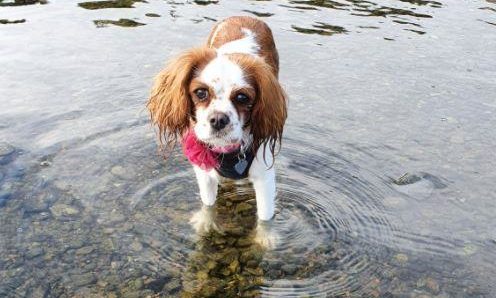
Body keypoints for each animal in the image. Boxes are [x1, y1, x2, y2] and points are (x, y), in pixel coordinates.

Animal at [147, 15, 286, 230]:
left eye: (242, 97)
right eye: (200, 92)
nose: (219, 119)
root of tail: (243, 16)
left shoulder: (264, 175)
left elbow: (264, 219)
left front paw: (264, 237)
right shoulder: (204, 172)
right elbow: (209, 204)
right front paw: (206, 223)